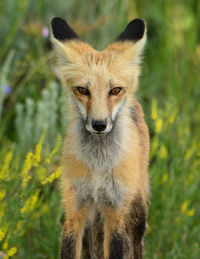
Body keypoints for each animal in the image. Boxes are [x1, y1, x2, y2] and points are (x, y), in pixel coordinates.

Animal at [50, 16, 150, 259]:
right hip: (91, 219)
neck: (98, 165)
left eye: (115, 90)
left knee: (135, 247)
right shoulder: (75, 209)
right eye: (82, 90)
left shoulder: (116, 212)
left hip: (136, 212)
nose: (98, 124)